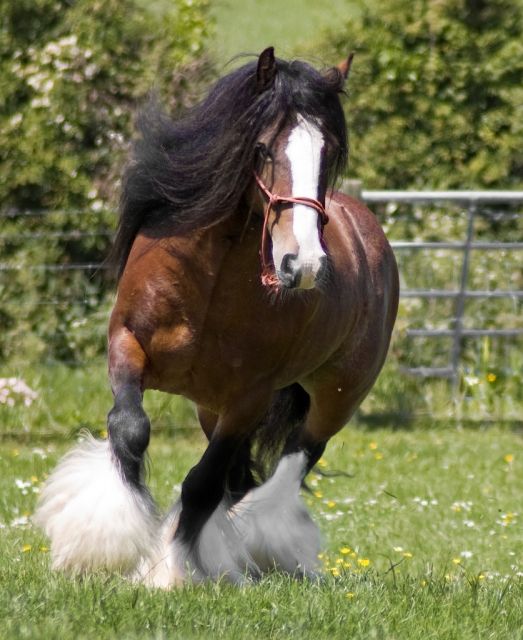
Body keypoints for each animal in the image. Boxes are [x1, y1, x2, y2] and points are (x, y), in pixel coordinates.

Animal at [35, 47, 399, 587]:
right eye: (263, 148)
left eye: (329, 152)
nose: (305, 263)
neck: (208, 283)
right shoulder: (126, 344)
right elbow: (130, 428)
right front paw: (101, 546)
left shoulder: (249, 397)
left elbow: (202, 484)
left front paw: (171, 570)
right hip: (210, 407)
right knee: (241, 474)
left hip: (338, 395)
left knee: (295, 458)